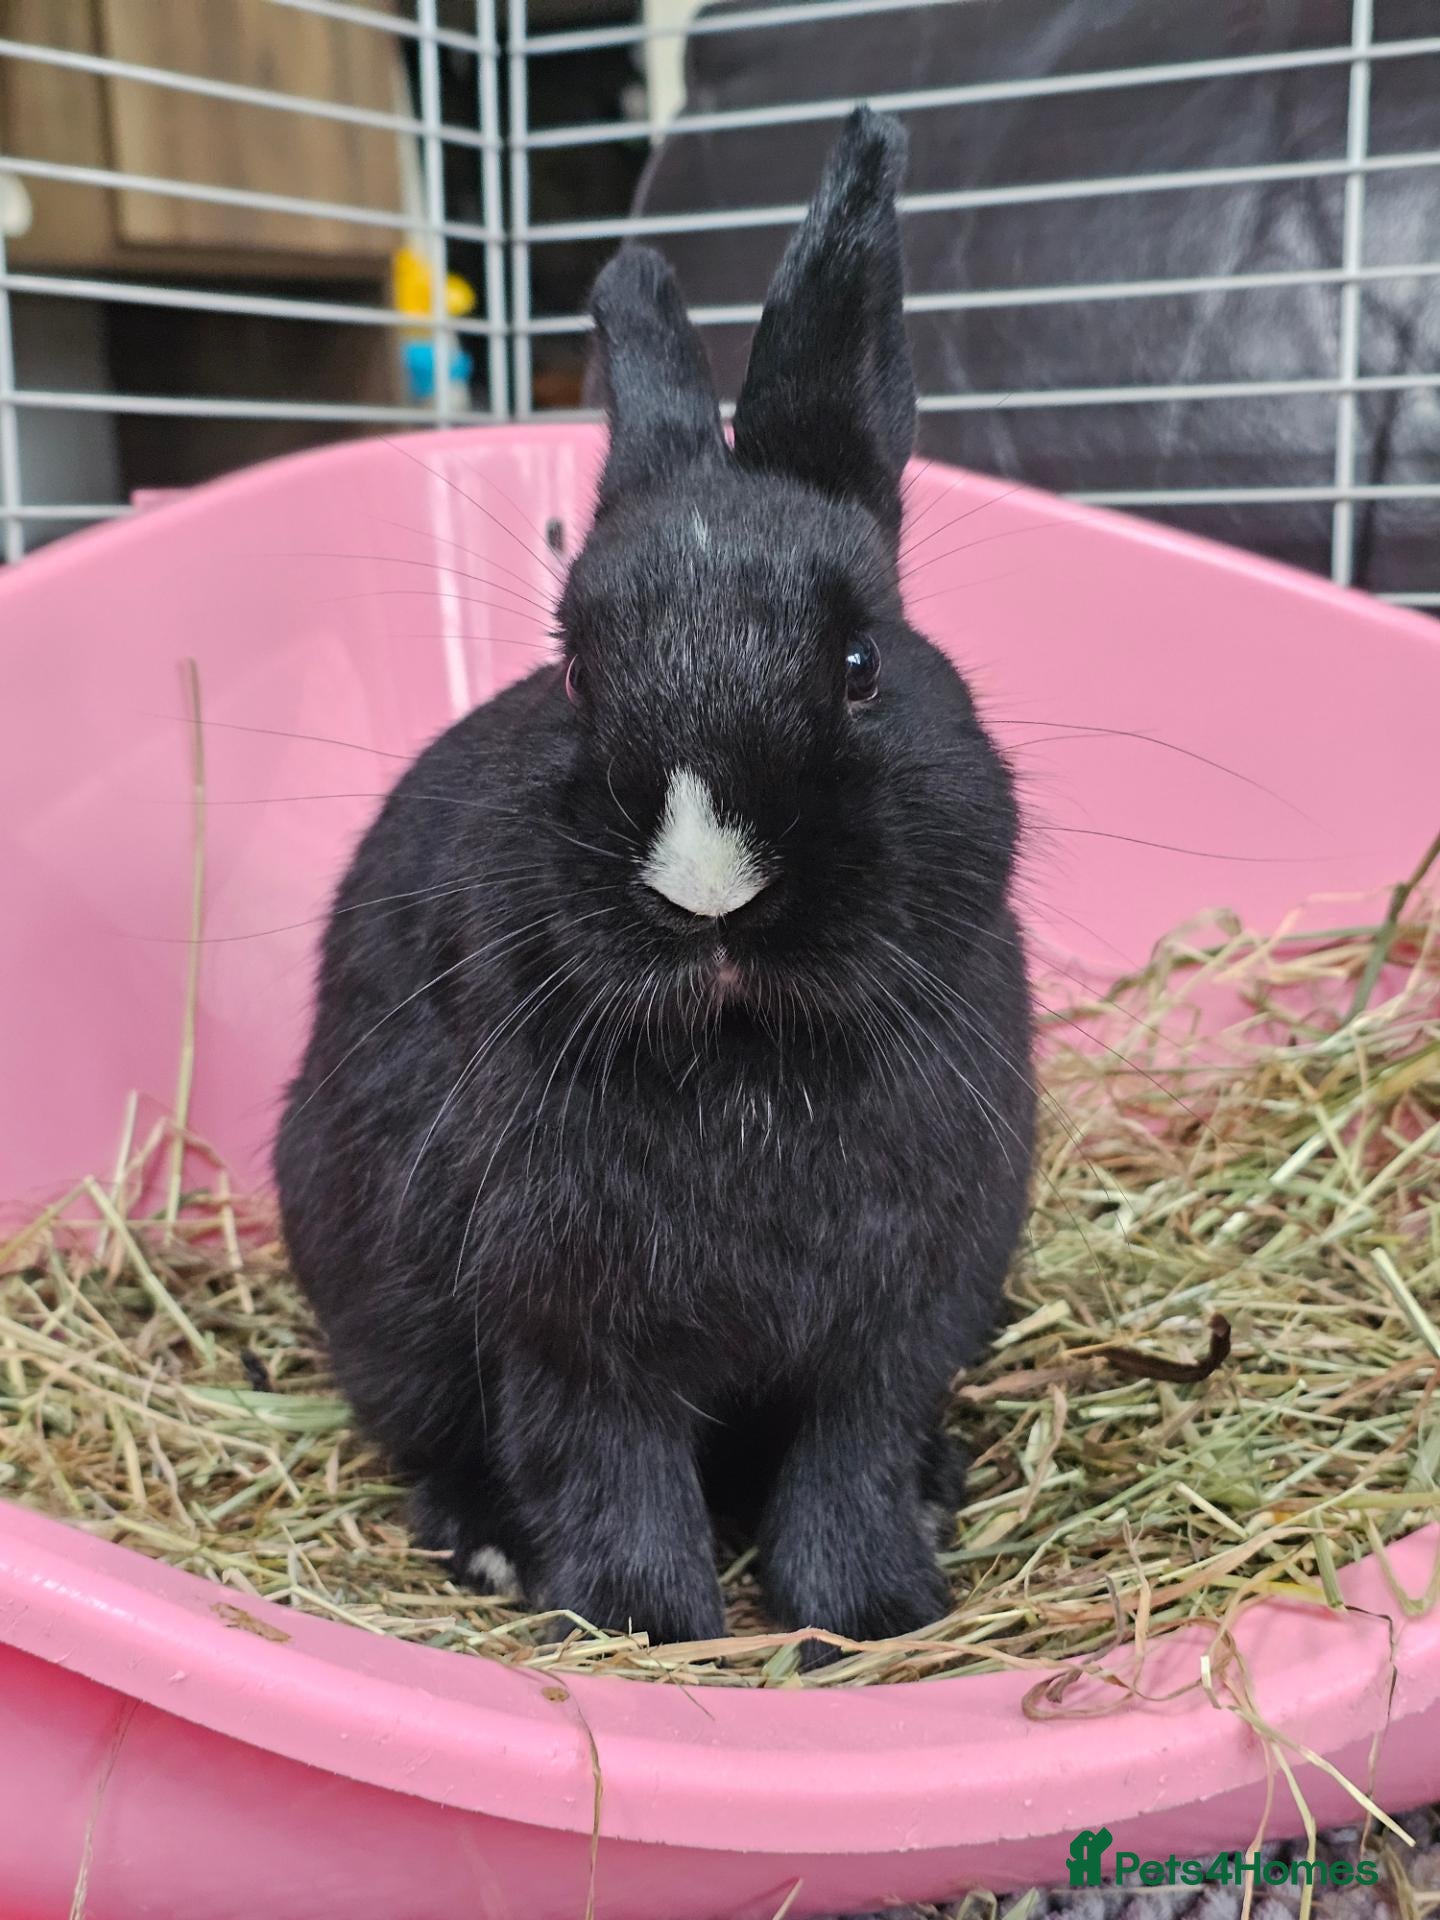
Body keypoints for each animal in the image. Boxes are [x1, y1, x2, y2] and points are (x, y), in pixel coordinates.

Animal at [275, 107, 1035, 1653]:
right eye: (576, 675)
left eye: (861, 664)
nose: (710, 889)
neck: (749, 1053)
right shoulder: (567, 1321)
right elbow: (604, 1463)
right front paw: (644, 1631)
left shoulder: (899, 1321)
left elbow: (850, 1453)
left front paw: (868, 1613)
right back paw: (488, 1546)